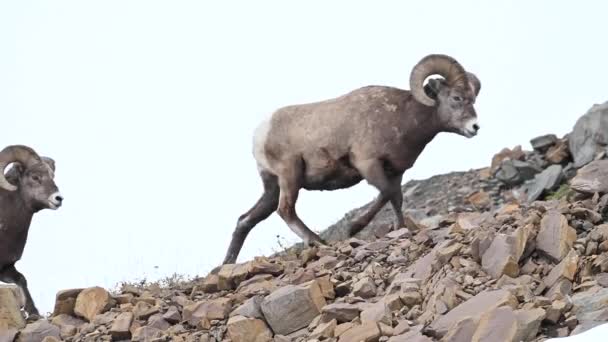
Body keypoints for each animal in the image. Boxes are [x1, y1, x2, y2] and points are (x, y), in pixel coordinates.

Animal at [0, 144, 63, 318]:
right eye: (35, 177)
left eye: (52, 176)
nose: (58, 199)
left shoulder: (6, 268)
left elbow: (22, 279)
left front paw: (32, 312)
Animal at [222, 53, 480, 264]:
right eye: (456, 97)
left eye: (472, 98)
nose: (475, 127)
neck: (401, 117)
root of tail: (260, 134)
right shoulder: (368, 165)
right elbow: (386, 193)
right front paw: (353, 228)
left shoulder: (395, 172)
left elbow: (396, 199)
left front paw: (400, 229)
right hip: (290, 175)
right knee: (285, 210)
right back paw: (318, 242)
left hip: (272, 187)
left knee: (246, 220)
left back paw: (226, 264)